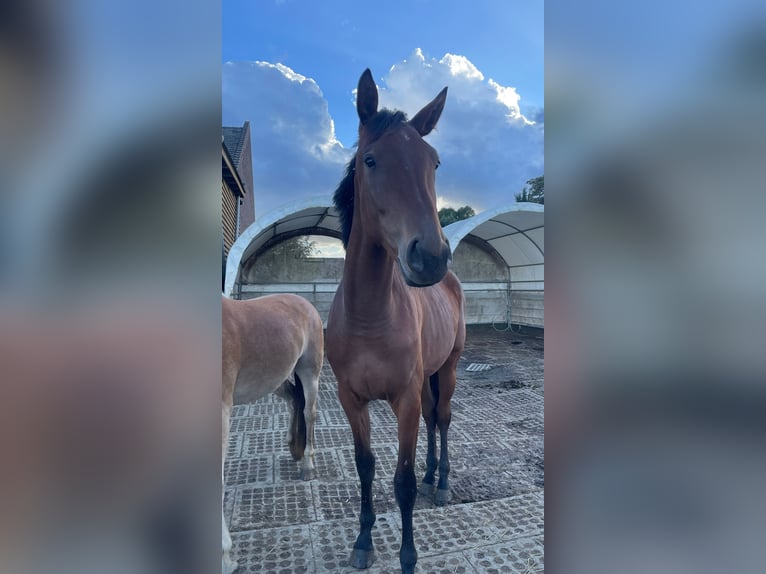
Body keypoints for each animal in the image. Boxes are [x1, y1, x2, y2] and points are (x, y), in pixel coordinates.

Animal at [220, 296, 322, 574]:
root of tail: (305, 303)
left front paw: (224, 558)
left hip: (309, 371)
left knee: (308, 412)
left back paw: (307, 465)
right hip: (274, 377)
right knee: (293, 398)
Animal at [326, 70, 464, 572]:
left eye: (434, 162)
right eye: (370, 160)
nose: (432, 256)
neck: (371, 318)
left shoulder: (402, 398)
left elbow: (400, 480)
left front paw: (407, 556)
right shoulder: (351, 399)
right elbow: (366, 466)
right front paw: (364, 541)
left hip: (449, 367)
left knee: (441, 417)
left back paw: (440, 483)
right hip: (427, 376)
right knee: (431, 416)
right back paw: (431, 474)